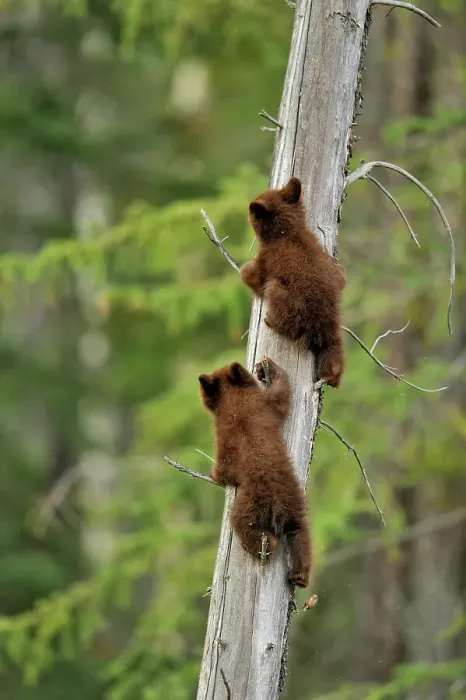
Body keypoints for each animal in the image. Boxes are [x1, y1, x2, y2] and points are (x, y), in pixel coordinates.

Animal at [198, 357, 311, 588]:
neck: (234, 398)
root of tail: (277, 502)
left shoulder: (225, 435)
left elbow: (224, 464)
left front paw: (215, 475)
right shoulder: (265, 404)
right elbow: (281, 396)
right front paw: (271, 368)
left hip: (250, 502)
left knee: (241, 523)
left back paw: (266, 544)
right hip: (294, 499)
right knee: (299, 531)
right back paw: (299, 575)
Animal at [240, 176, 346, 388]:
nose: (249, 206)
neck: (288, 231)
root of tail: (325, 325)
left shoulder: (267, 258)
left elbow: (253, 275)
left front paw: (245, 272)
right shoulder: (332, 264)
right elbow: (342, 276)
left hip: (291, 302)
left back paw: (271, 320)